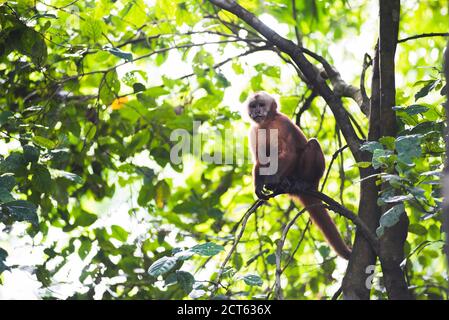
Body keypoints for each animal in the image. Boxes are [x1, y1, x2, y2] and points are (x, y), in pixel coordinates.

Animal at [247, 90, 352, 260]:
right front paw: (258, 186)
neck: (267, 123)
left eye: (261, 105)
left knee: (311, 144)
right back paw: (284, 183)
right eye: (253, 106)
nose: (257, 111)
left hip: (309, 175)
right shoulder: (254, 131)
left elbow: (290, 152)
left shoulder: (283, 122)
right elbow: (259, 160)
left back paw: (300, 182)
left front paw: (273, 180)